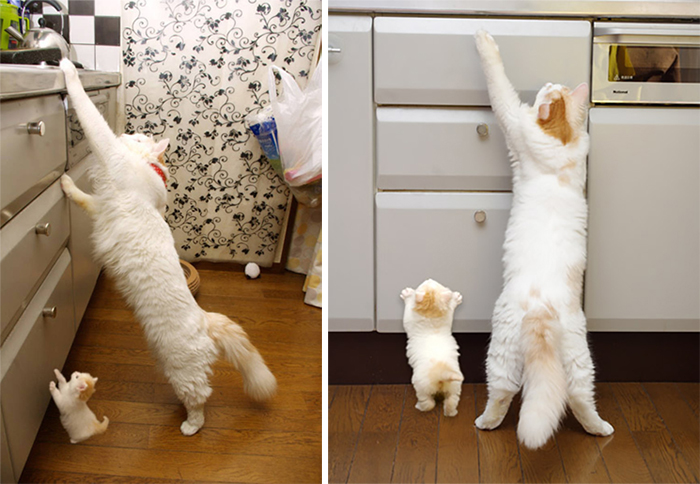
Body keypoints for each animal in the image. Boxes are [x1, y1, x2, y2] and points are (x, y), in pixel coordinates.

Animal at [400, 280, 464, 416]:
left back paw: (419, 406)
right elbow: (451, 307)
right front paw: (456, 298)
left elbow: (408, 306)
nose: (429, 279)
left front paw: (407, 294)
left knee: (428, 404)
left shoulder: (409, 318)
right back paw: (452, 412)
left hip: (422, 388)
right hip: (455, 387)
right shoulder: (447, 316)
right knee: (451, 402)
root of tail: (443, 373)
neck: (432, 316)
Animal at [476, 31, 612, 450]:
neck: (561, 145)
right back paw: (601, 429)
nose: (549, 82)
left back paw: (485, 423)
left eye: (547, 93)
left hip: (500, 349)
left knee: (502, 393)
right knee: (579, 398)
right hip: (579, 360)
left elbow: (498, 81)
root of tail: (542, 311)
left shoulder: (514, 121)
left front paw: (484, 39)